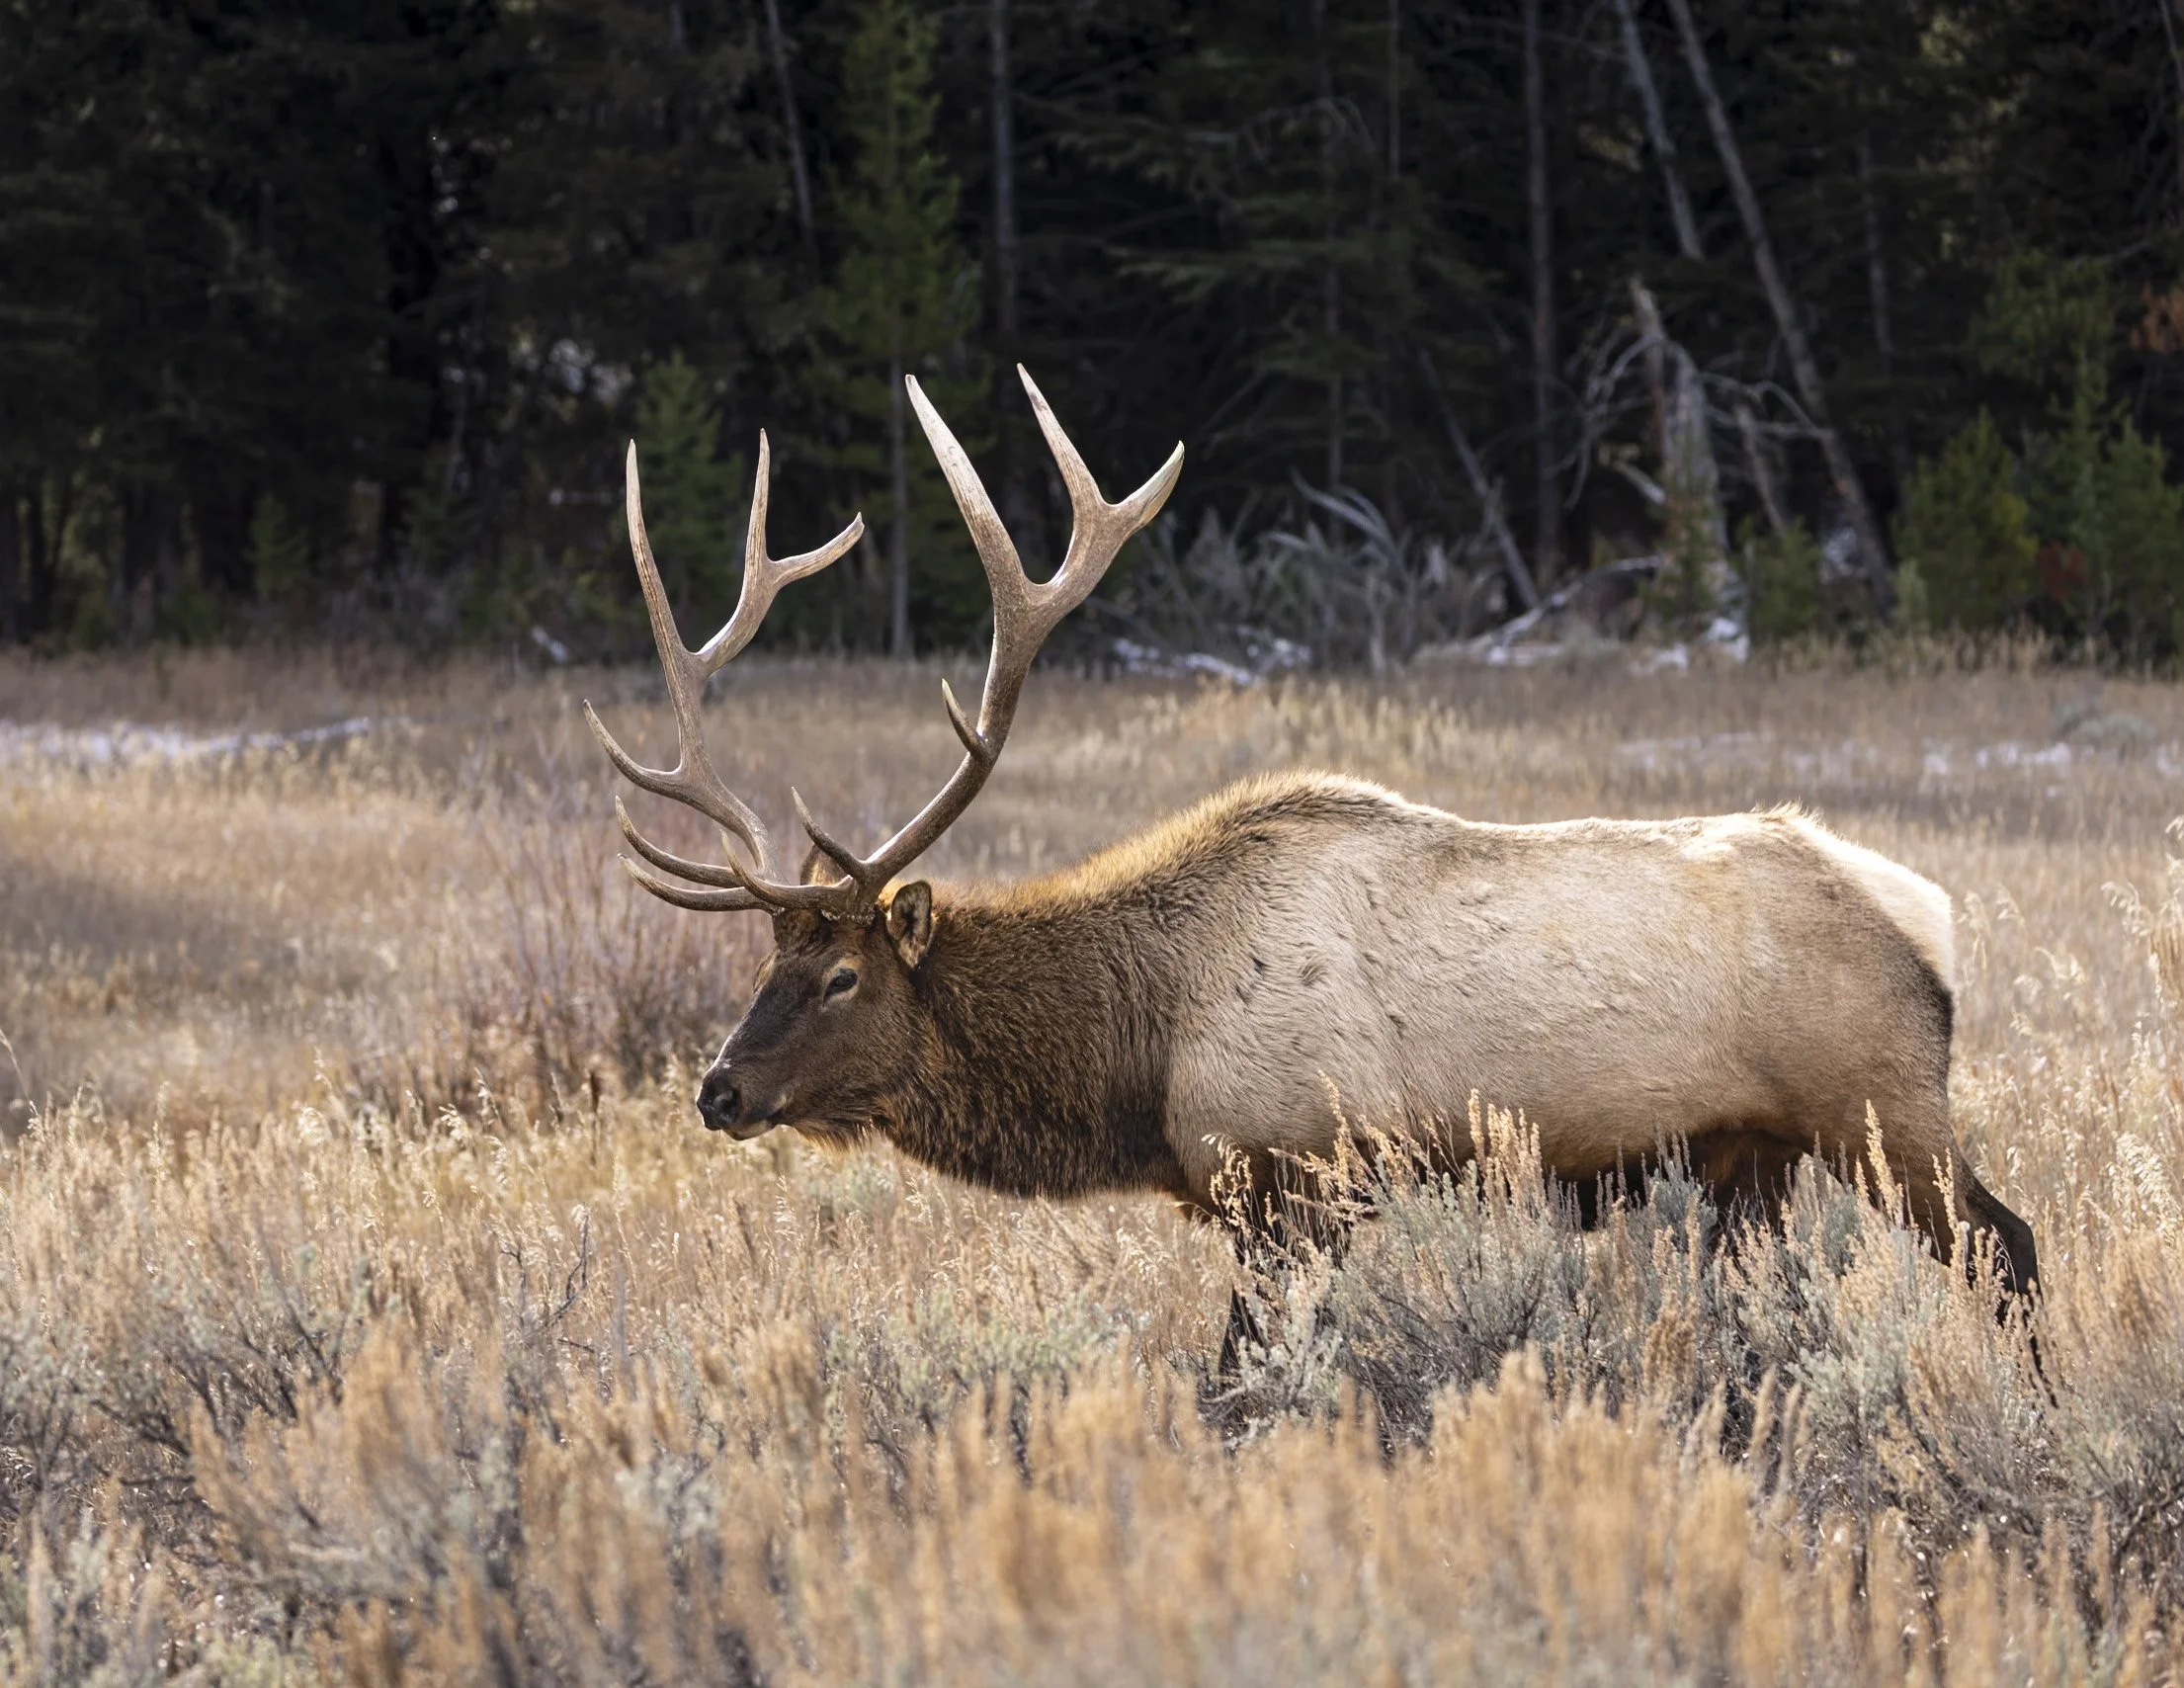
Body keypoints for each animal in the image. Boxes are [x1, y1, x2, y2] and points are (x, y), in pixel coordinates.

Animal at [585, 366, 2040, 1366]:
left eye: (837, 975)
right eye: (764, 961)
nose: (718, 1088)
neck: (1142, 1054)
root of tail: (1932, 918)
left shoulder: (1297, 1179)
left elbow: (1240, 1382)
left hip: (1879, 1106)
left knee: (2005, 1245)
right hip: (1749, 1158)